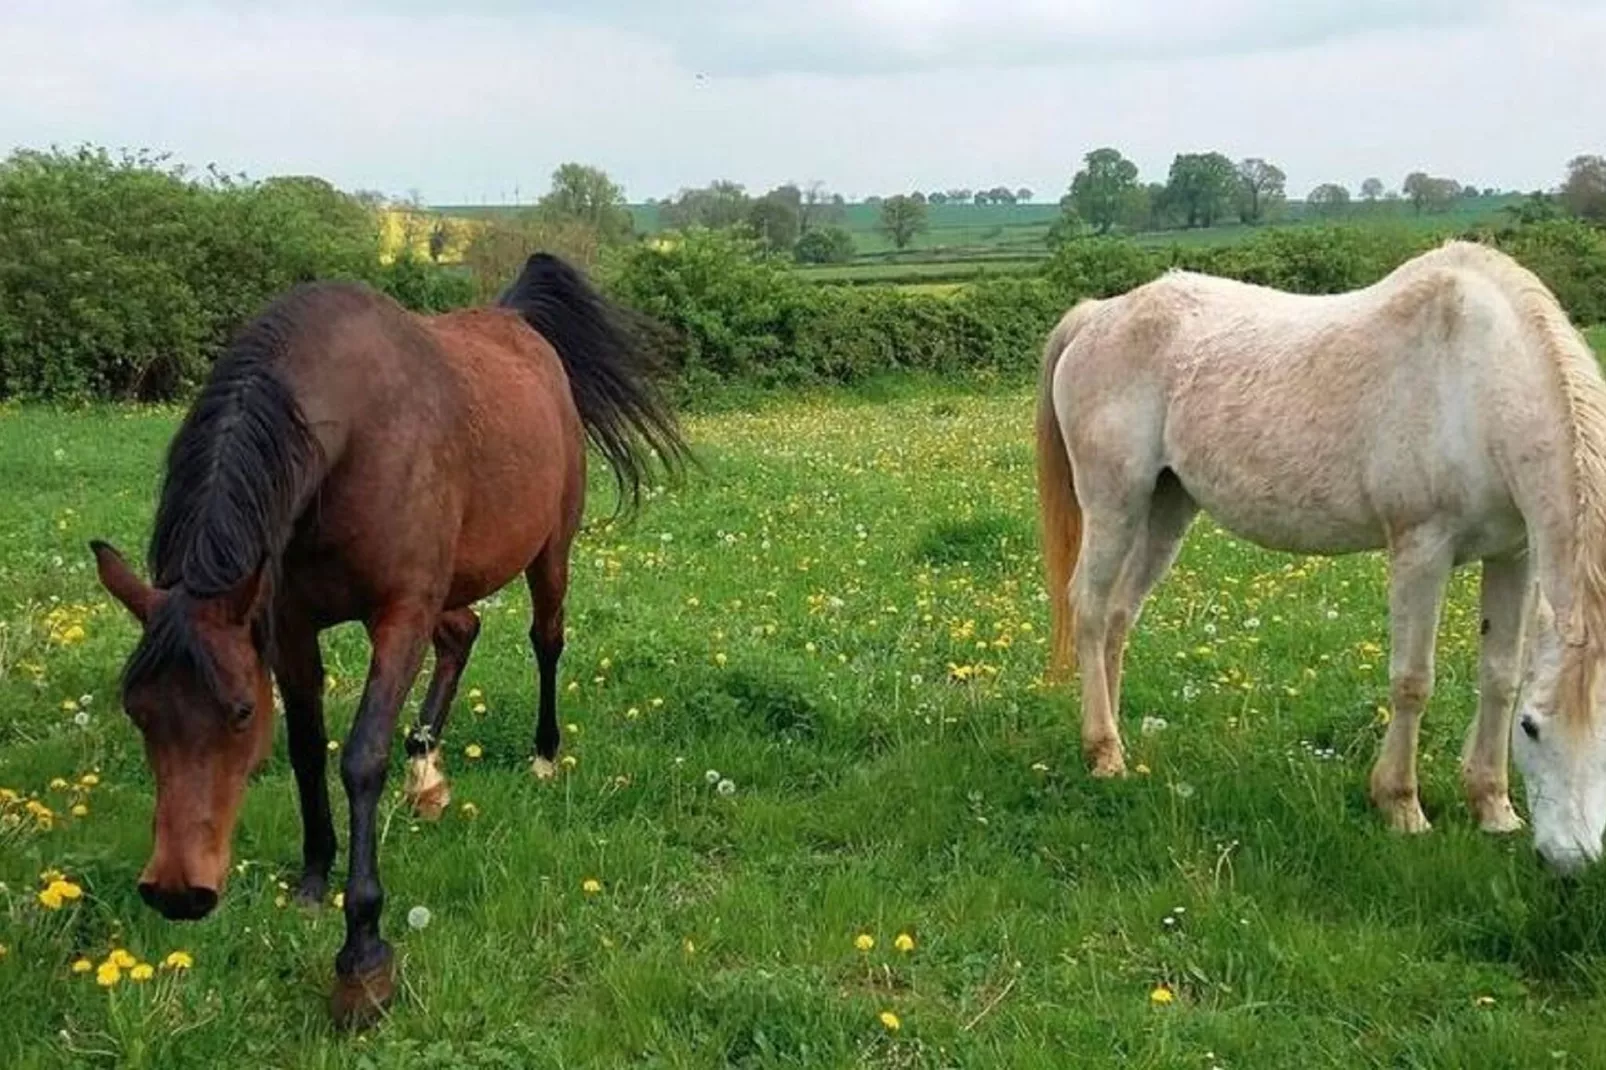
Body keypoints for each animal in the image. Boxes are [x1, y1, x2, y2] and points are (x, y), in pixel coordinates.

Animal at [91, 252, 687, 1028]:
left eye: (239, 713)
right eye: (138, 710)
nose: (176, 891)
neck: (353, 439)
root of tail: (520, 323)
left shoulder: (399, 612)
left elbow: (361, 758)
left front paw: (363, 954)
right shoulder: (288, 624)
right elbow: (308, 750)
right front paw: (314, 880)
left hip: (549, 552)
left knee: (545, 639)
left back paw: (542, 756)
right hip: (451, 583)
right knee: (463, 633)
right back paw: (426, 770)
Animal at [1034, 239, 1606, 867]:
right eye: (1532, 728)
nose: (1572, 861)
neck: (1478, 382)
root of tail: (1098, 315)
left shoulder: (1514, 554)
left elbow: (1500, 675)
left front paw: (1493, 808)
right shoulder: (1421, 548)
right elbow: (1412, 681)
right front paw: (1401, 806)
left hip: (1165, 510)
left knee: (1119, 616)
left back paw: (1117, 739)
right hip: (1114, 502)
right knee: (1089, 611)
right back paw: (1102, 753)